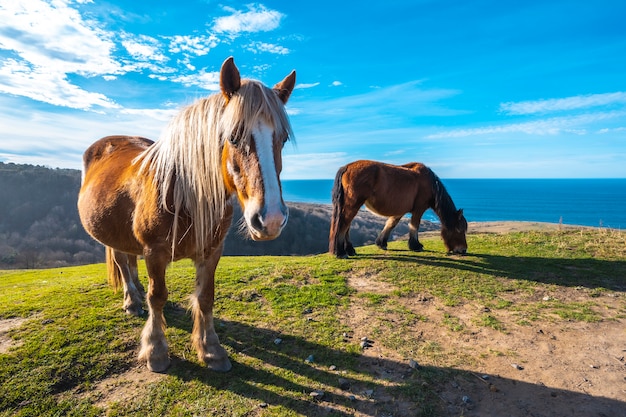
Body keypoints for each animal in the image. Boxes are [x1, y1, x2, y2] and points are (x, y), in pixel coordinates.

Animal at [77, 56, 294, 370]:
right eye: (233, 136)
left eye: (283, 138)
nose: (271, 219)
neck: (183, 194)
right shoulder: (155, 252)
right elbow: (158, 296)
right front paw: (156, 350)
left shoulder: (212, 250)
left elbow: (205, 297)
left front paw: (211, 349)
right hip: (110, 235)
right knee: (121, 261)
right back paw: (132, 301)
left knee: (130, 260)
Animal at [330, 159, 466, 256]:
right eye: (459, 229)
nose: (463, 250)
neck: (431, 184)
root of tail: (347, 167)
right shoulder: (419, 209)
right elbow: (414, 226)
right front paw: (415, 246)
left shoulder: (400, 210)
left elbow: (391, 224)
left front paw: (381, 243)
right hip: (353, 205)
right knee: (344, 224)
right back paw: (341, 252)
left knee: (347, 226)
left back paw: (349, 250)